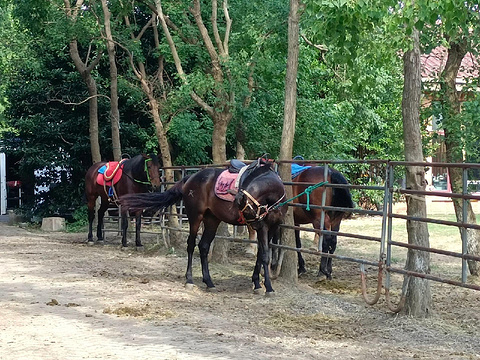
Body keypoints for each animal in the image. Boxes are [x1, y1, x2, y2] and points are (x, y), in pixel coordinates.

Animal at [120, 160, 286, 296]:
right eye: (246, 210)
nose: (254, 225)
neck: (272, 200)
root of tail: (190, 178)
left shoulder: (272, 227)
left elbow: (261, 254)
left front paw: (257, 283)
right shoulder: (264, 227)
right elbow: (264, 255)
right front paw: (268, 288)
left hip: (212, 219)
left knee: (204, 246)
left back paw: (209, 282)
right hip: (195, 217)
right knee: (191, 245)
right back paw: (189, 280)